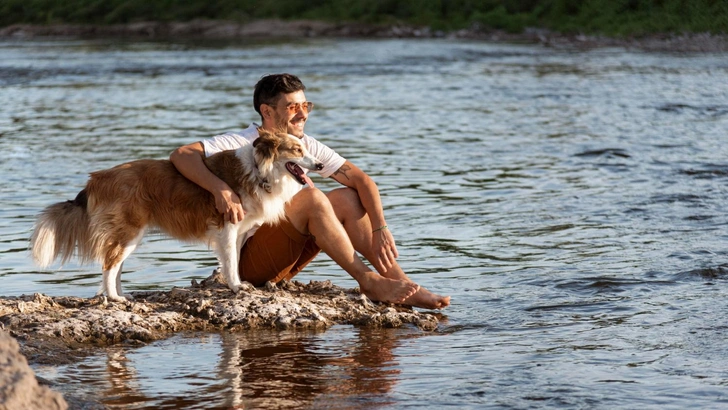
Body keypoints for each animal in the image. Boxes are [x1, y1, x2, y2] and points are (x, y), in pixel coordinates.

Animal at [31, 128, 322, 302]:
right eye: (297, 150)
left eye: (306, 149)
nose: (319, 164)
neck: (259, 169)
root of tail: (97, 178)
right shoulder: (227, 226)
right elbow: (230, 261)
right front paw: (236, 287)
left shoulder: (239, 231)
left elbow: (235, 260)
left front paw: (236, 283)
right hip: (129, 231)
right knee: (109, 264)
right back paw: (114, 298)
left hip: (128, 234)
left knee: (115, 265)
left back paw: (123, 295)